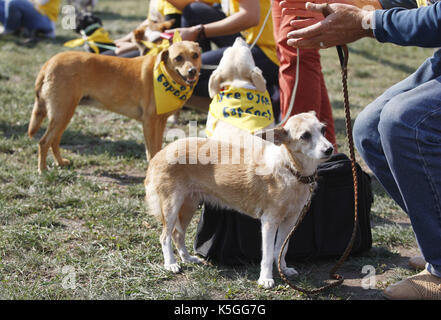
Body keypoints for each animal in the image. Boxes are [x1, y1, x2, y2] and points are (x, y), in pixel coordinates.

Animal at [30, 40, 202, 172]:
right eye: (178, 58)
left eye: (195, 55)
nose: (192, 71)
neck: (164, 75)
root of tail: (50, 61)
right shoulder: (149, 122)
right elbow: (151, 151)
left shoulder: (160, 122)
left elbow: (157, 148)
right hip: (63, 113)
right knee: (44, 142)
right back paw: (43, 170)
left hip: (64, 114)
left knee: (54, 141)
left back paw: (60, 163)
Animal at [144, 111, 334, 288]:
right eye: (305, 136)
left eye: (323, 130)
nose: (330, 149)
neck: (290, 168)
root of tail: (161, 152)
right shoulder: (269, 222)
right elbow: (267, 254)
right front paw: (266, 279)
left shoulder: (290, 221)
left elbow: (281, 249)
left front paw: (283, 269)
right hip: (171, 207)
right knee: (165, 237)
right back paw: (171, 264)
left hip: (189, 205)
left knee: (177, 234)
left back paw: (187, 258)